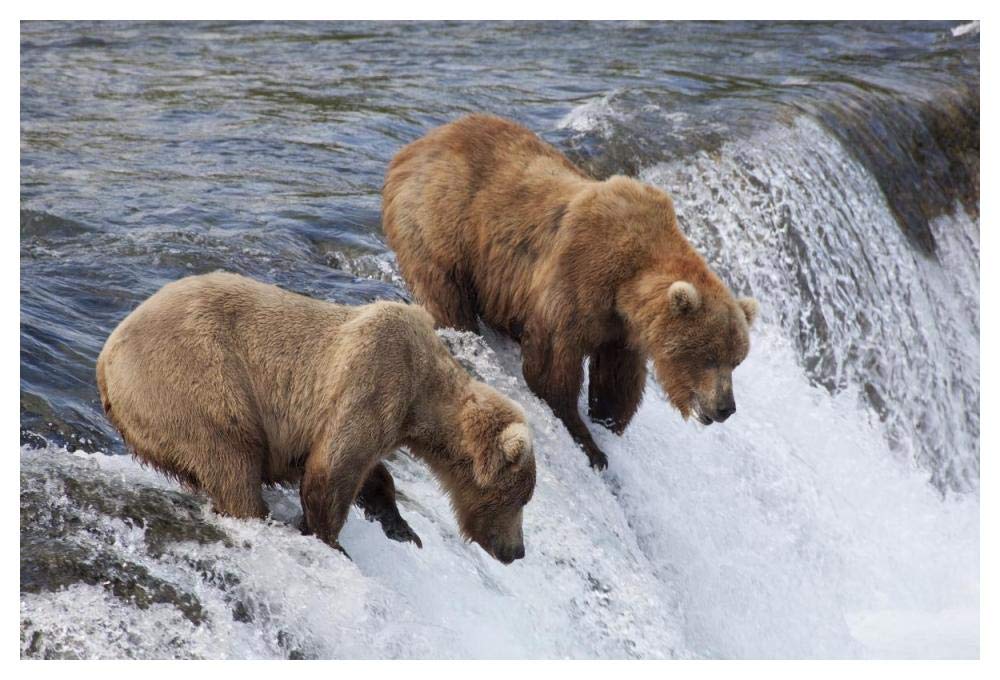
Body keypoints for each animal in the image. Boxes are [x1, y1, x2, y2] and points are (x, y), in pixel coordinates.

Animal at [96, 272, 536, 564]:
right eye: (519, 497)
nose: (516, 551)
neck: (422, 396)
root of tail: (104, 360)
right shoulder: (375, 380)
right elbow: (332, 469)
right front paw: (332, 541)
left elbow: (367, 471)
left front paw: (402, 528)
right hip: (193, 381)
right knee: (230, 457)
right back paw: (256, 514)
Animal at [383, 114, 757, 470]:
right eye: (708, 356)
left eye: (737, 360)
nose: (726, 407)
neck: (628, 282)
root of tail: (416, 146)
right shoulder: (578, 280)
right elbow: (551, 367)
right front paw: (590, 444)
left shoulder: (620, 330)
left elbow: (617, 380)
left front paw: (607, 422)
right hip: (441, 223)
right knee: (445, 293)